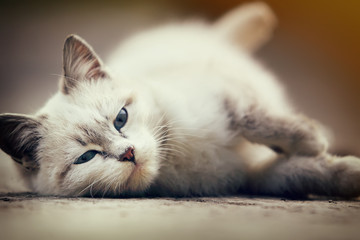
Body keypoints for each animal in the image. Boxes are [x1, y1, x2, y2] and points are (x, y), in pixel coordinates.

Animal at [0, 2, 360, 199]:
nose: (128, 153)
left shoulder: (226, 95)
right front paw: (346, 171)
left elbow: (261, 123)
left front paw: (312, 141)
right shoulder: (253, 175)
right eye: (86, 157)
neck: (174, 159)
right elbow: (305, 172)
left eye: (121, 118)